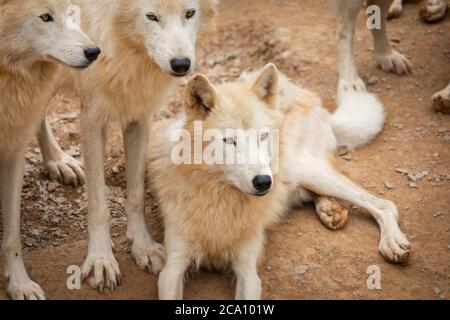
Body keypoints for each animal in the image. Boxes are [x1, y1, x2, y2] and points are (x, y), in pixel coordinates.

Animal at [0, 0, 99, 300]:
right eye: (45, 17)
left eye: (68, 11)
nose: (94, 52)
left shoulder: (13, 151)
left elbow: (12, 236)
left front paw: (20, 284)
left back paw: (58, 160)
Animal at [64, 0, 216, 292]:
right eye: (152, 17)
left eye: (190, 13)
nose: (181, 64)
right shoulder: (92, 118)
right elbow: (98, 204)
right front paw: (101, 260)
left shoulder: (141, 115)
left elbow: (135, 194)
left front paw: (143, 246)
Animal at [149, 63, 412, 300]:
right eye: (230, 141)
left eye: (263, 136)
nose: (264, 182)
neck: (220, 198)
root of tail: (305, 95)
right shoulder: (172, 268)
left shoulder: (248, 270)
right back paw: (330, 210)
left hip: (301, 167)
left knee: (383, 204)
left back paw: (391, 242)